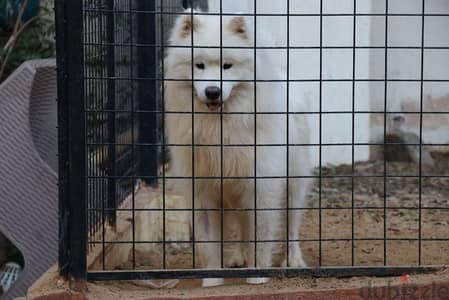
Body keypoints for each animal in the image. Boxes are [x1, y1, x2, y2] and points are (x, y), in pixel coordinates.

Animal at [164, 11, 312, 288]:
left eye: (227, 66)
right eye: (199, 65)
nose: (212, 91)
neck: (220, 129)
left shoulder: (261, 186)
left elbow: (260, 235)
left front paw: (257, 276)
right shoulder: (204, 190)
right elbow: (210, 242)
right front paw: (212, 280)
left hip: (294, 185)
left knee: (291, 226)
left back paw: (293, 260)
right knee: (242, 227)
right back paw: (237, 257)